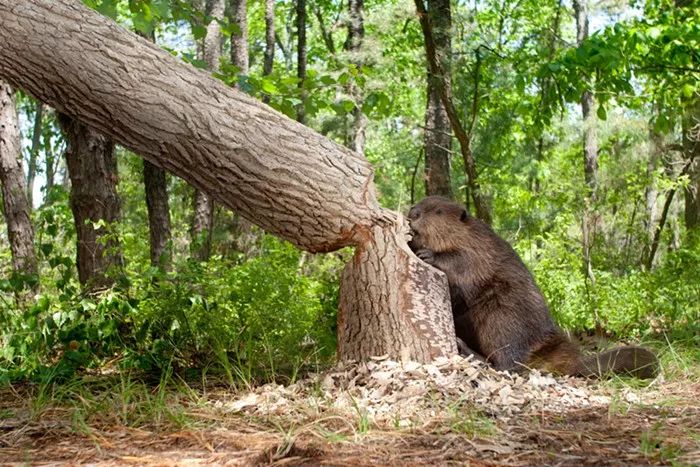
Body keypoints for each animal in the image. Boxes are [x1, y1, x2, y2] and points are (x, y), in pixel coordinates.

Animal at [408, 196, 660, 378]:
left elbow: (462, 264)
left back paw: (469, 352)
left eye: (438, 211)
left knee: (508, 364)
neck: (469, 234)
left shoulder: (478, 250)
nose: (412, 213)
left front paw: (427, 254)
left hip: (502, 317)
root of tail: (573, 360)